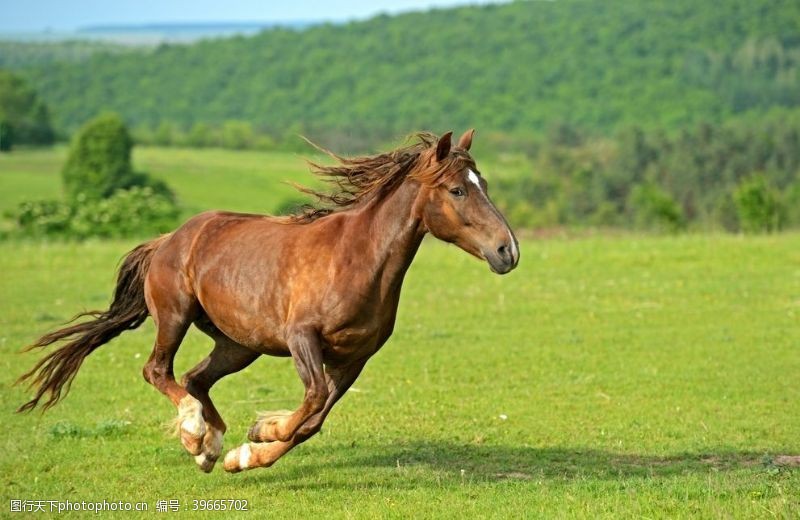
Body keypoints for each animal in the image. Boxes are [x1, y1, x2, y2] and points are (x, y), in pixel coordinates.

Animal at [18, 129, 520, 472]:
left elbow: (314, 420)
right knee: (158, 370)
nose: (507, 251)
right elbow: (312, 401)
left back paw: (210, 448)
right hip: (176, 316)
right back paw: (194, 433)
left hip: (240, 344)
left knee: (196, 378)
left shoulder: (355, 357)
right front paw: (261, 432)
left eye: (483, 184)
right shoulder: (302, 338)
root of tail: (168, 239)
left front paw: (246, 451)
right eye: (457, 189)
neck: (357, 258)